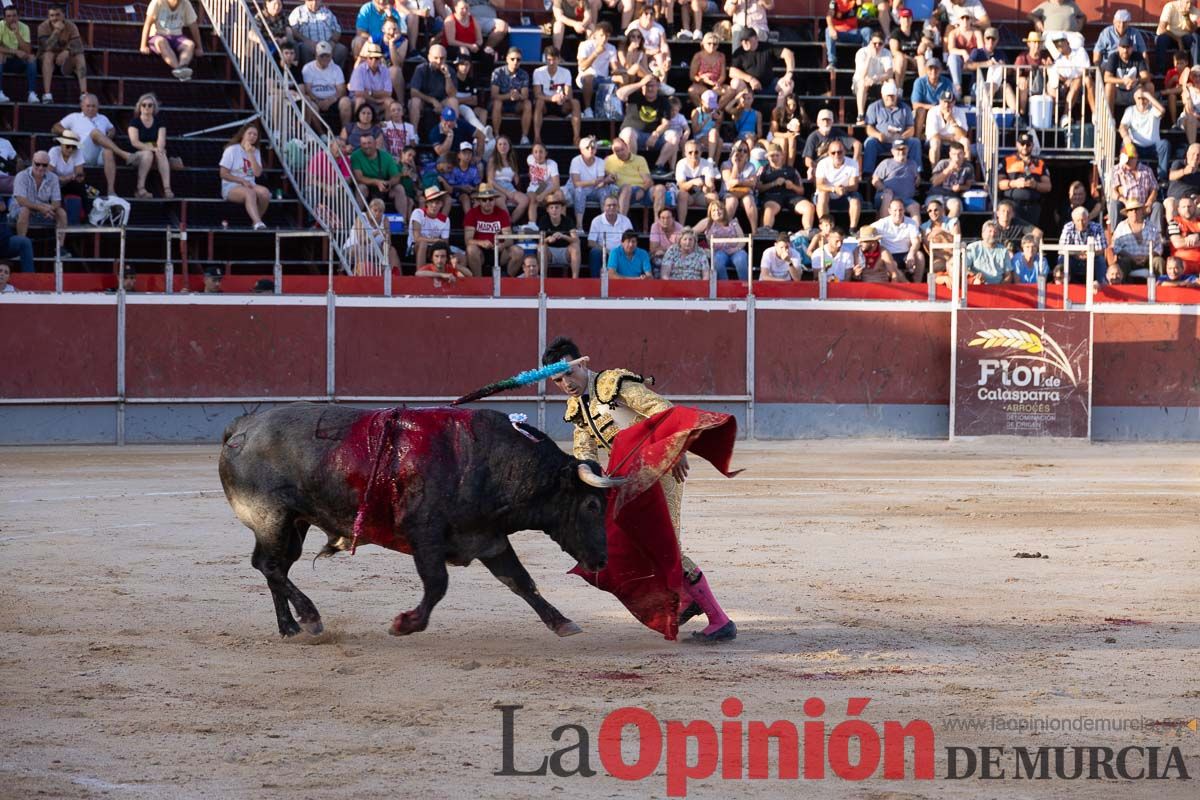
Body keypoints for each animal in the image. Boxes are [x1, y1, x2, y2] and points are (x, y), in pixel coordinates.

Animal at [220, 402, 624, 642]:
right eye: (592, 505)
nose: (603, 560)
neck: (490, 464)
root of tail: (242, 425)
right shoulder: (425, 537)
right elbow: (437, 584)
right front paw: (406, 624)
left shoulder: (488, 539)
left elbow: (522, 582)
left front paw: (562, 622)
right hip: (272, 519)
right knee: (270, 565)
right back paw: (309, 617)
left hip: (295, 525)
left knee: (275, 567)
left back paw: (289, 627)